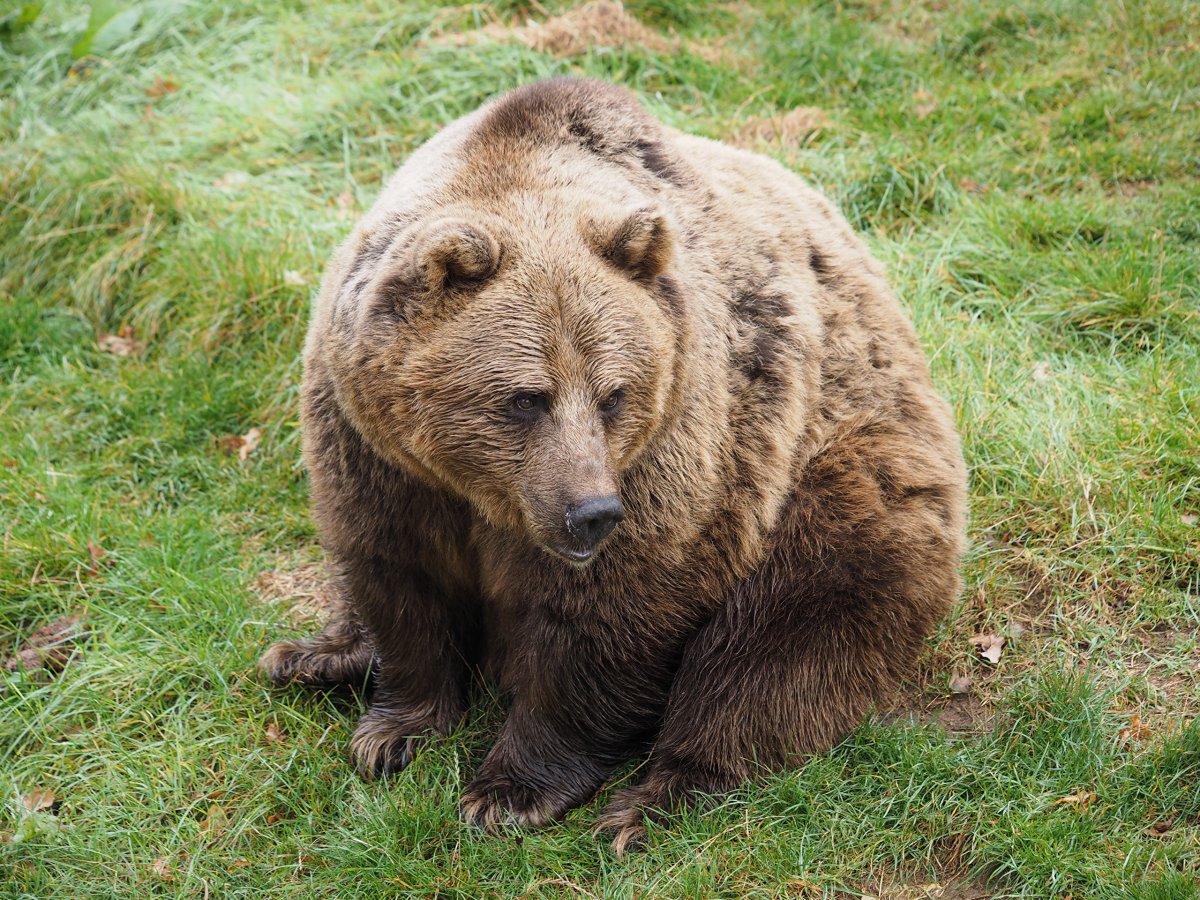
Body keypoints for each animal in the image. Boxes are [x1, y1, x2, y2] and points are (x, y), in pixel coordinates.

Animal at [260, 75, 964, 854]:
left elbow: (608, 618)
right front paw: (394, 730)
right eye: (525, 397)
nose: (591, 512)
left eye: (614, 394)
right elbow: (398, 573)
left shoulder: (683, 441)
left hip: (838, 478)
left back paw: (655, 799)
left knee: (778, 642)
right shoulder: (376, 453)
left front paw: (508, 792)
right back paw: (317, 656)